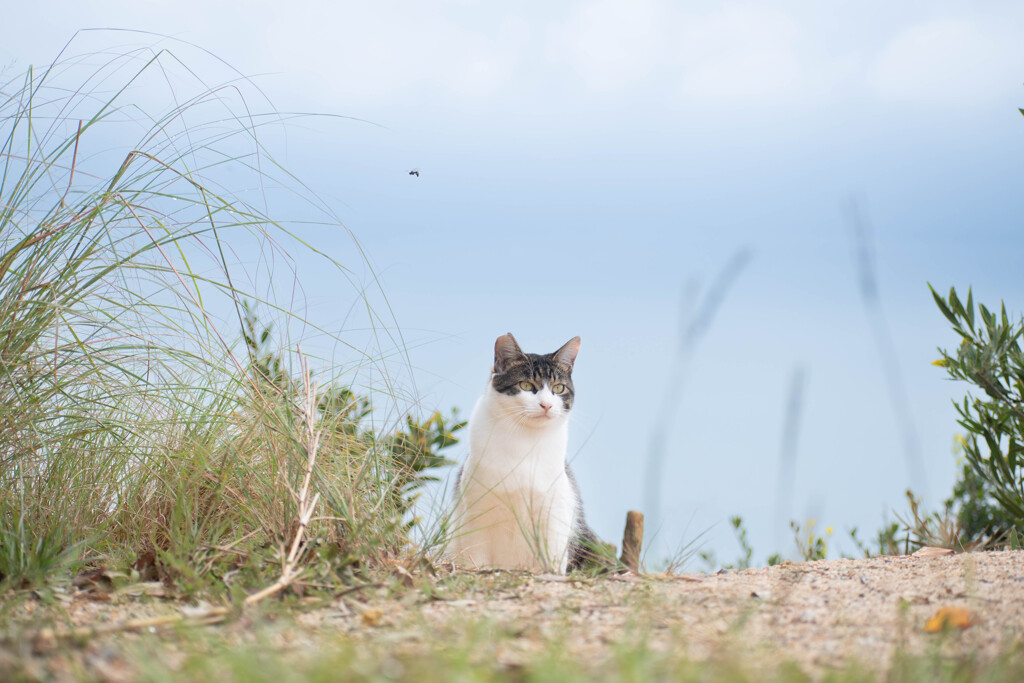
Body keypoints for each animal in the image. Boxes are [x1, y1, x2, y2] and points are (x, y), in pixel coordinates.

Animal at [450, 333, 598, 573]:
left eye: (558, 388)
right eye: (526, 385)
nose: (546, 405)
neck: (524, 441)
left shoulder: (554, 512)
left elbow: (552, 556)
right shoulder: (475, 513)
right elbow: (475, 556)